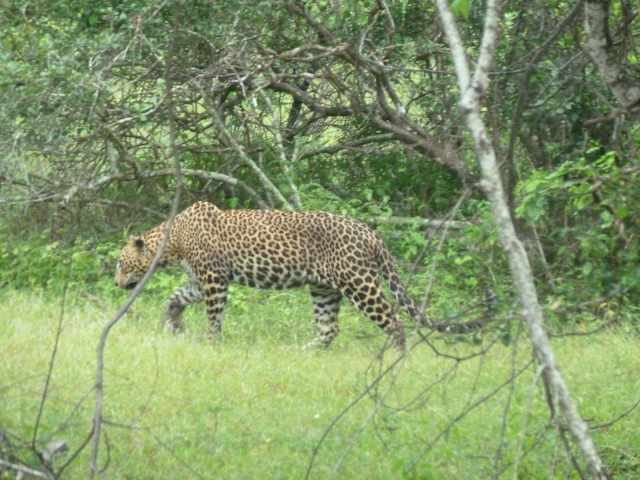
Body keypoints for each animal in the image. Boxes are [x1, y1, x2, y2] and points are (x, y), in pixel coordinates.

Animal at [115, 201, 484, 350]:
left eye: (120, 262)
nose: (117, 284)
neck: (173, 240)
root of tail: (372, 233)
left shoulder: (214, 278)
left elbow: (214, 314)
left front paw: (211, 341)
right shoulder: (198, 279)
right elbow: (175, 297)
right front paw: (174, 322)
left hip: (359, 283)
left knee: (393, 319)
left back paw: (395, 358)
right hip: (324, 289)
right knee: (329, 327)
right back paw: (307, 350)